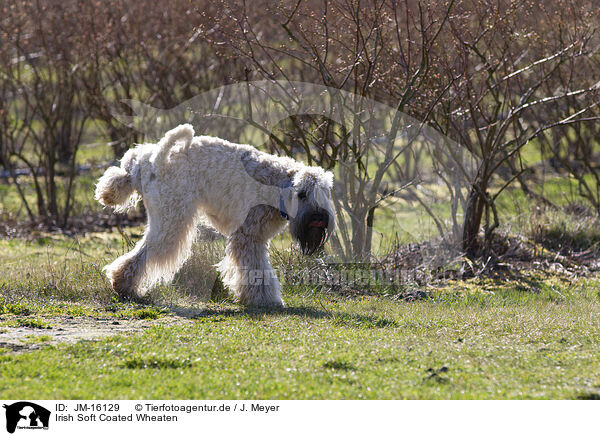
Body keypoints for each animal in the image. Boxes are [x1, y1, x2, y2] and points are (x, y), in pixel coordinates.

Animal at [96, 123, 336, 306]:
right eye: (302, 194)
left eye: (324, 193)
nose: (318, 218)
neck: (277, 185)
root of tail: (153, 160)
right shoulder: (247, 237)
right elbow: (256, 269)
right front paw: (265, 300)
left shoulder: (255, 238)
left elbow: (255, 269)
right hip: (171, 222)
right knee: (144, 254)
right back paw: (123, 285)